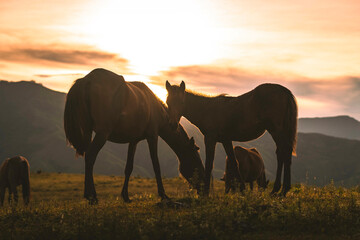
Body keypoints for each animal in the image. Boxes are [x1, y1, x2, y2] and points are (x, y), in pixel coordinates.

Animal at [64, 68, 205, 203]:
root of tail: (86, 80)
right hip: (102, 134)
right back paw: (92, 197)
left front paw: (125, 196)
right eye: (196, 159)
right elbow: (156, 165)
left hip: (88, 132)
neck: (154, 107)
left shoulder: (133, 140)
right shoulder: (152, 136)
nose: (202, 188)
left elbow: (129, 167)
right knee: (90, 156)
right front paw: (163, 195)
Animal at [166, 81, 298, 196]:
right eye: (168, 102)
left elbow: (209, 164)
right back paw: (278, 190)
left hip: (276, 131)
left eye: (181, 102)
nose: (172, 124)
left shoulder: (210, 139)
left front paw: (206, 193)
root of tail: (284, 91)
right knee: (282, 154)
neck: (207, 110)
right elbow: (234, 163)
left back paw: (281, 190)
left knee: (284, 152)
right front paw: (242, 191)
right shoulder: (226, 140)